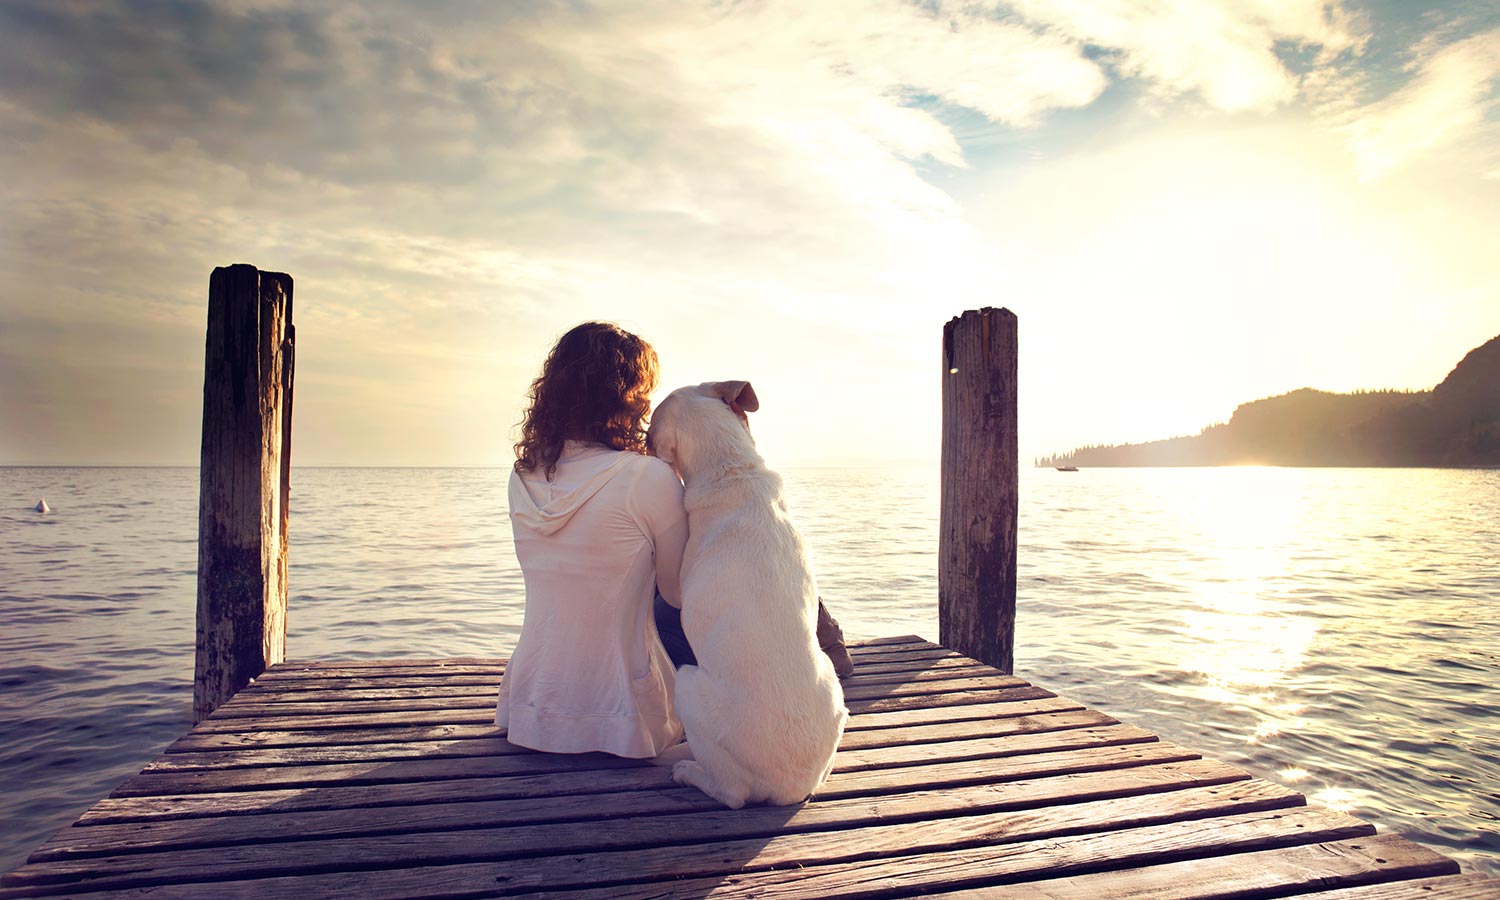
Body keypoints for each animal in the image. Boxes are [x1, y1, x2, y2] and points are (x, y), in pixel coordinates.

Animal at [651, 379, 852, 810]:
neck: (731, 471)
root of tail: (786, 788)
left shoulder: (675, 590)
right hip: (834, 690)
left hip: (687, 682)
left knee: (731, 794)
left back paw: (690, 772)